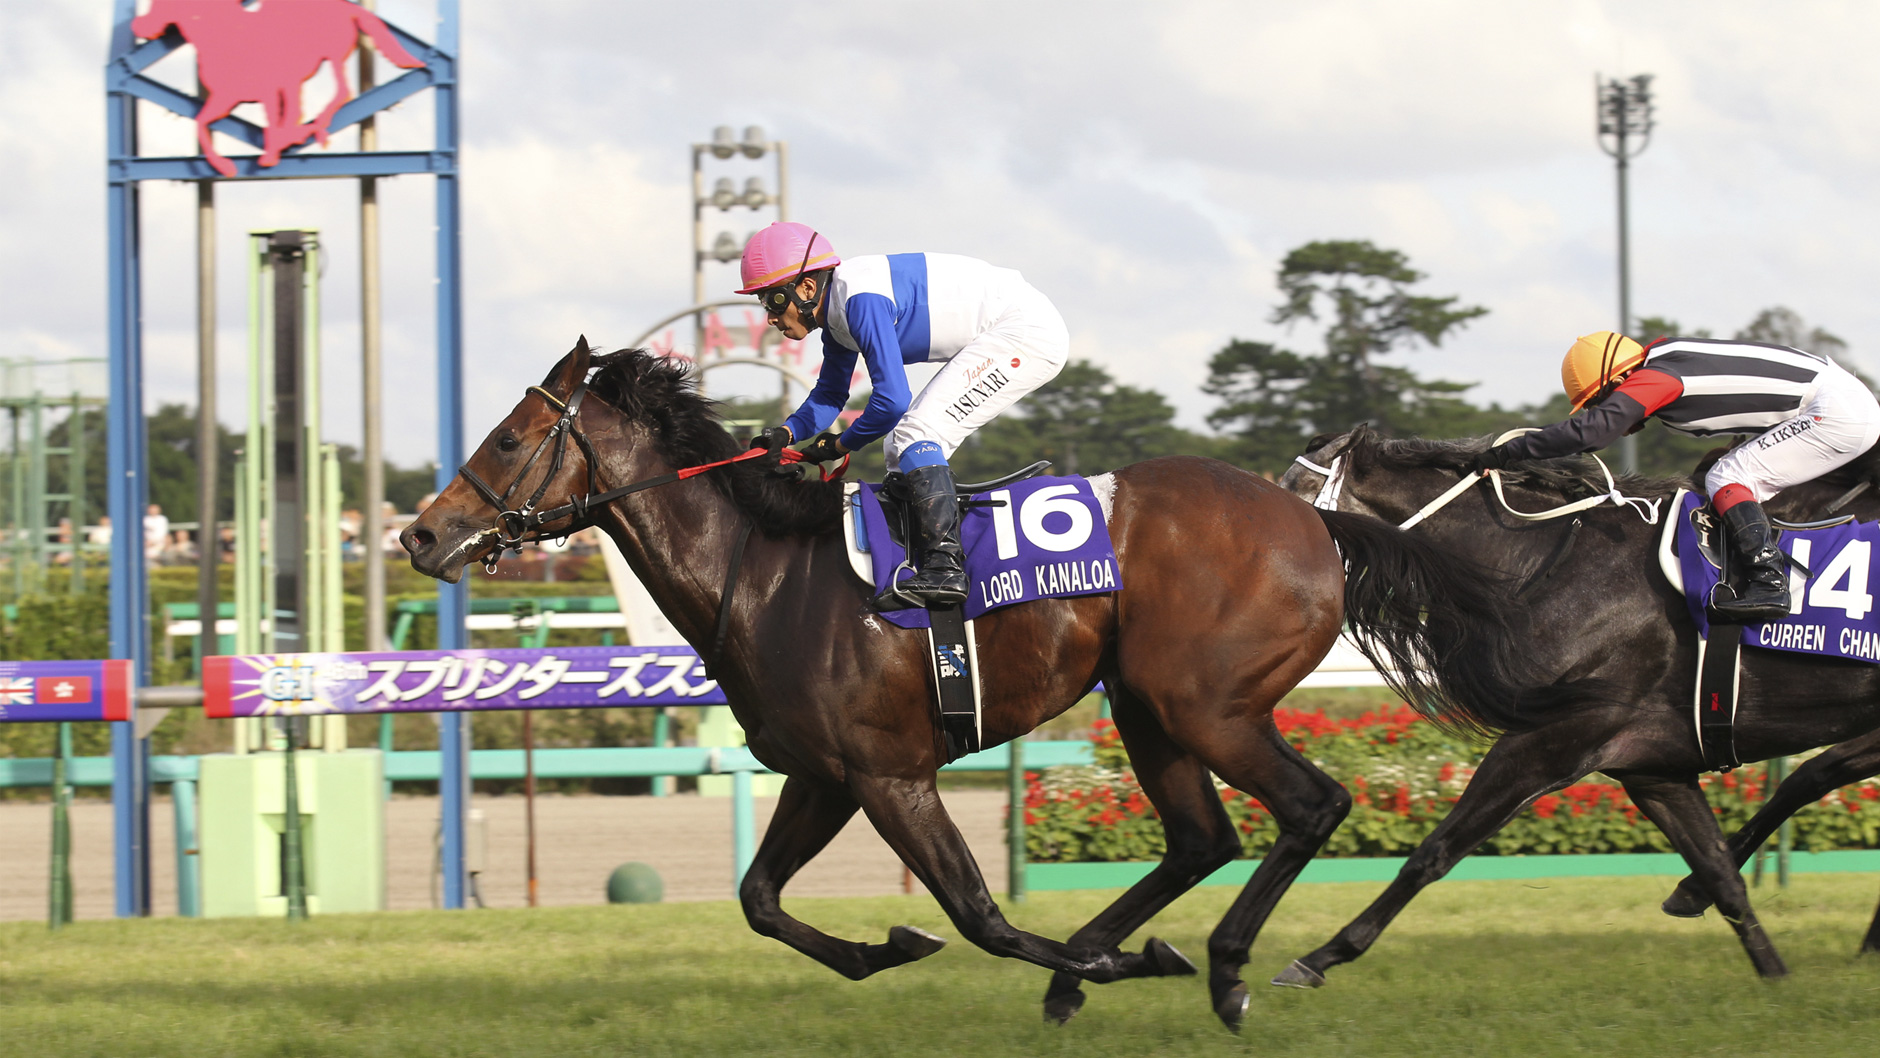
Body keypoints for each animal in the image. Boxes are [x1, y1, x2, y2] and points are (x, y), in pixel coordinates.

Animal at [132, 0, 425, 177]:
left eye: (162, 2)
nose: (139, 26)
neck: (225, 35)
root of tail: (348, 8)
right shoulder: (227, 97)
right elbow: (202, 122)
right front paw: (227, 166)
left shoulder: (267, 90)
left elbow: (274, 122)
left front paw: (270, 154)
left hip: (333, 55)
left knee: (343, 92)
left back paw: (317, 128)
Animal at [401, 340, 1551, 1030]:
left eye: (507, 437)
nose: (419, 534)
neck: (764, 570)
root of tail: (1314, 520)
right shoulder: (826, 774)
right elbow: (760, 899)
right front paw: (890, 946)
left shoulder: (890, 772)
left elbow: (977, 914)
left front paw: (1120, 964)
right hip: (1147, 705)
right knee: (1200, 837)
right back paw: (1109, 960)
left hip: (1206, 703)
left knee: (1308, 805)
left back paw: (1220, 966)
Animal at [1273, 425, 1880, 988]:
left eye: (1292, 492)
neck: (1544, 562)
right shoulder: (1653, 767)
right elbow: (1720, 874)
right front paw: (1773, 976)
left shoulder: (1552, 739)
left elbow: (1435, 851)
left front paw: (1321, 956)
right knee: (1810, 778)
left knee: (1814, 774)